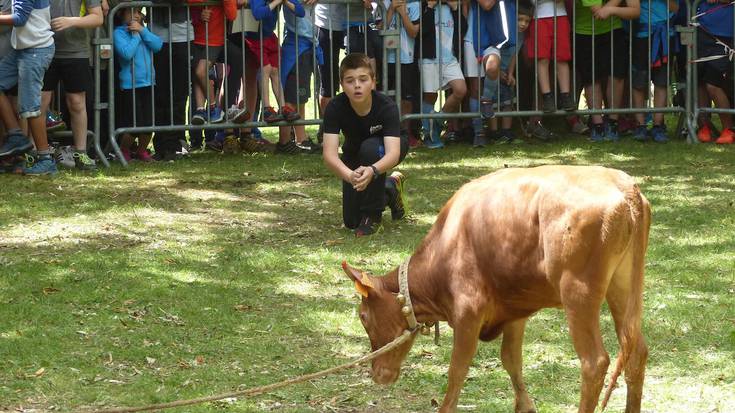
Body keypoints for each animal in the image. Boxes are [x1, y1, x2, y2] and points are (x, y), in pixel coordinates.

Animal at [344, 165, 648, 412]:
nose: (377, 373)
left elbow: (457, 371)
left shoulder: (468, 314)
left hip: (578, 294)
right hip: (622, 288)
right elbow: (511, 360)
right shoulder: (515, 310)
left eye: (363, 317)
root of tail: (626, 188)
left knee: (594, 362)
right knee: (636, 352)